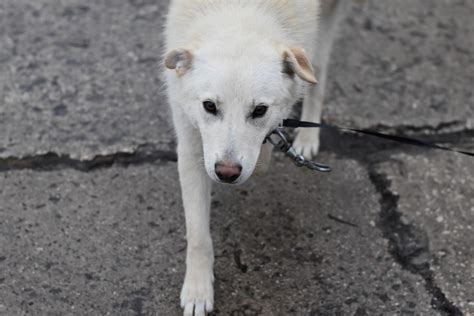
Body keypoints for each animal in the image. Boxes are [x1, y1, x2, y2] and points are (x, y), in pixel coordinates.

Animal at [163, 1, 344, 314]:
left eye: (259, 110)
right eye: (209, 106)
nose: (226, 173)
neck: (239, 11)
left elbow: (266, 145)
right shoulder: (191, 145)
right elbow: (197, 234)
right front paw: (198, 289)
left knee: (318, 72)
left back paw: (307, 138)